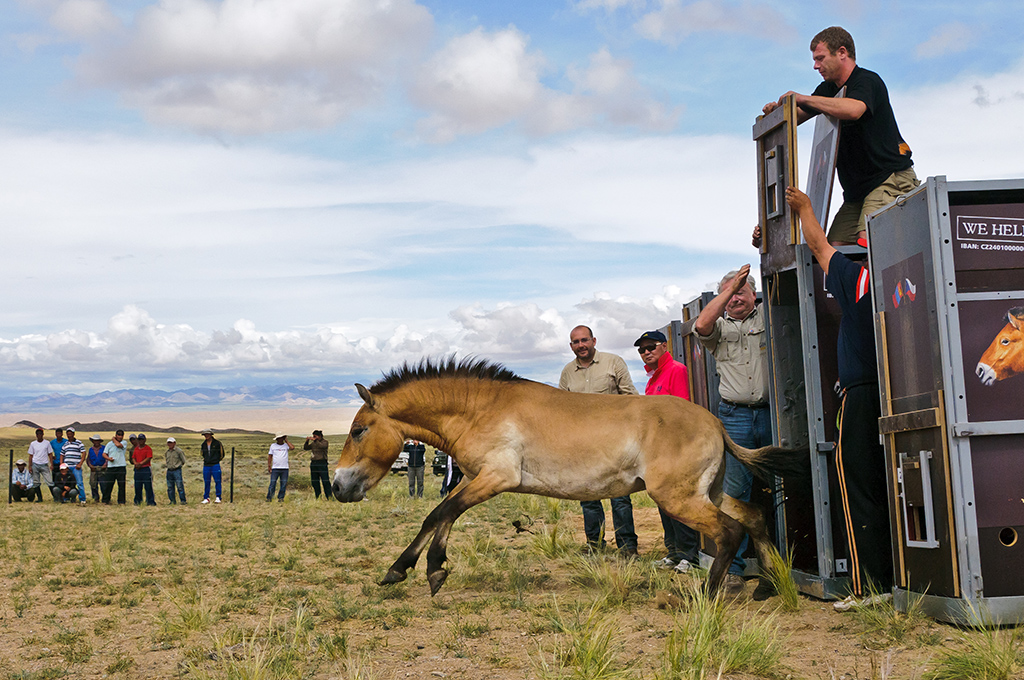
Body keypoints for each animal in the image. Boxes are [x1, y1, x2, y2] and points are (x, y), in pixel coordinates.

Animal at [335, 358, 806, 598]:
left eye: (358, 430)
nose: (339, 486)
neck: (481, 408)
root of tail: (715, 423)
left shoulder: (495, 478)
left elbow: (442, 513)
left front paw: (422, 569)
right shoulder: (474, 479)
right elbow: (440, 516)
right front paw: (414, 570)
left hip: (678, 498)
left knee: (728, 532)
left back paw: (707, 595)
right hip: (708, 491)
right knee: (753, 517)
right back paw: (773, 583)